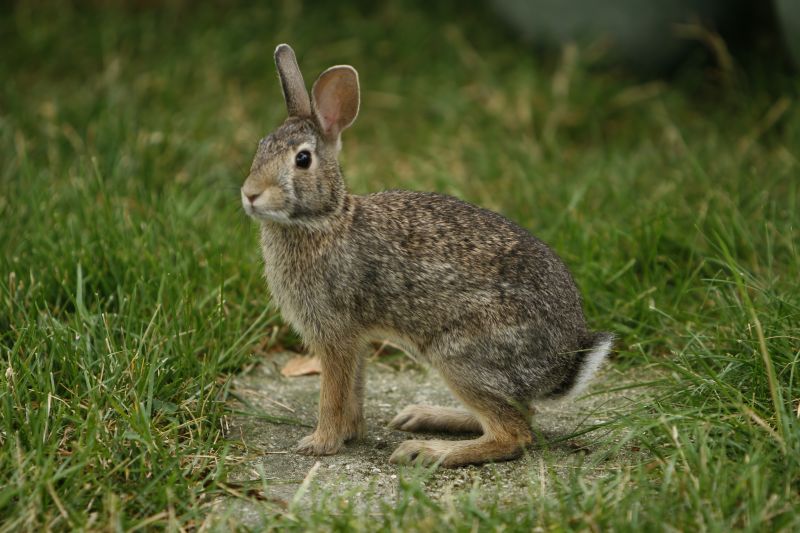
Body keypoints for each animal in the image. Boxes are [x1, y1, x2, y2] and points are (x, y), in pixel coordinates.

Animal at [240, 44, 614, 467]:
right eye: (261, 146)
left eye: (302, 160)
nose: (250, 194)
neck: (324, 220)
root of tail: (563, 362)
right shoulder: (356, 339)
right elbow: (354, 388)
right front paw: (350, 434)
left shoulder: (335, 334)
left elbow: (332, 394)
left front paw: (320, 443)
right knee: (521, 413)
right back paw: (423, 417)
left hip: (461, 355)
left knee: (514, 433)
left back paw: (426, 450)